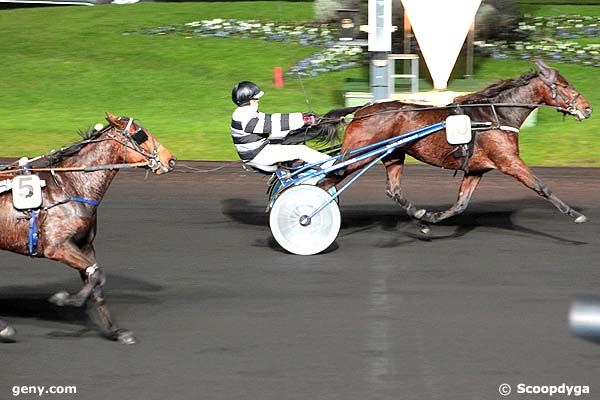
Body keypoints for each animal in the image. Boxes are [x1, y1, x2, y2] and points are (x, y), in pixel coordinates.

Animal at [0, 113, 177, 344]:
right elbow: (97, 274)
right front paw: (65, 299)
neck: (70, 186)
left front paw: (116, 331)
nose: (169, 159)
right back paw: (4, 328)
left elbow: (96, 279)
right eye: (141, 135)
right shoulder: (57, 247)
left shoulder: (84, 245)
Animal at [318, 59, 592, 228]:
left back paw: (417, 215)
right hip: (358, 155)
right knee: (325, 181)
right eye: (565, 85)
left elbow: (460, 204)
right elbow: (541, 186)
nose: (587, 108)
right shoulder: (509, 161)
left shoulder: (475, 169)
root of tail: (361, 110)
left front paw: (430, 217)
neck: (496, 116)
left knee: (392, 189)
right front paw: (576, 214)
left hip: (393, 155)